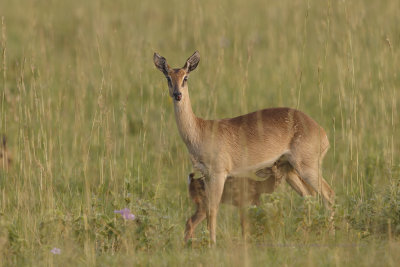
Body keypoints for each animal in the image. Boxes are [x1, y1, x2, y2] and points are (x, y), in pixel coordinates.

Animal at [153, 50, 334, 245]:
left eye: (185, 77)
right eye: (168, 77)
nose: (177, 94)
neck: (200, 131)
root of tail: (321, 132)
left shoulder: (219, 174)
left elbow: (213, 209)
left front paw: (213, 244)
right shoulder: (207, 175)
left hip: (307, 168)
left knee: (328, 194)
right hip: (291, 171)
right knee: (310, 197)